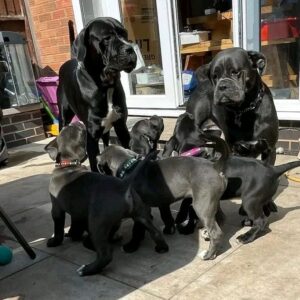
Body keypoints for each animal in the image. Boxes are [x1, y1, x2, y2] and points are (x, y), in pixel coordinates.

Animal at [44, 122, 168, 276]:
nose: (76, 122)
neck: (69, 164)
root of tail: (123, 184)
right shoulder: (77, 212)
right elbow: (75, 224)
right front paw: (73, 234)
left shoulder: (56, 209)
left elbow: (59, 228)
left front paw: (55, 241)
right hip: (141, 215)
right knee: (155, 232)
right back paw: (161, 248)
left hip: (97, 223)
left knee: (106, 254)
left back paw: (87, 268)